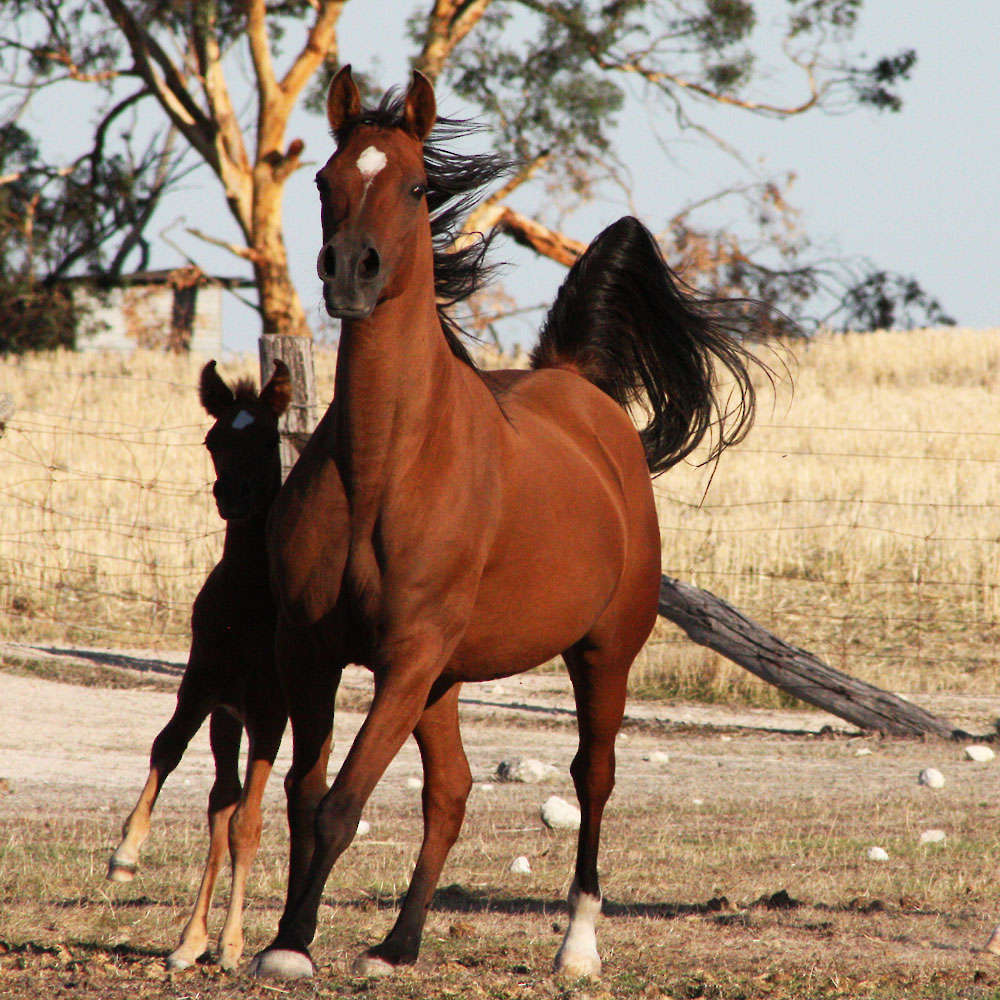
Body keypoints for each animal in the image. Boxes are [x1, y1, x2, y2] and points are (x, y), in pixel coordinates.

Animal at [108, 360, 292, 971]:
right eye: (214, 440)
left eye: (269, 437)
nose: (232, 496)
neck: (248, 599)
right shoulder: (202, 686)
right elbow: (165, 749)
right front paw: (125, 853)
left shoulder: (269, 712)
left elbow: (249, 827)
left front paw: (233, 946)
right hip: (225, 719)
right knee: (219, 807)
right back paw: (190, 941)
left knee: (239, 817)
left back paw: (223, 944)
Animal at [251, 65, 763, 981]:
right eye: (323, 181)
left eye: (418, 187)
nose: (350, 274)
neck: (386, 465)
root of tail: (579, 388)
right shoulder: (309, 648)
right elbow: (306, 794)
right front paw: (288, 942)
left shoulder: (408, 656)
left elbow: (343, 801)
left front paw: (292, 942)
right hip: (446, 681)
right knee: (450, 792)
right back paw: (400, 944)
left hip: (599, 655)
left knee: (593, 777)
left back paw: (577, 946)